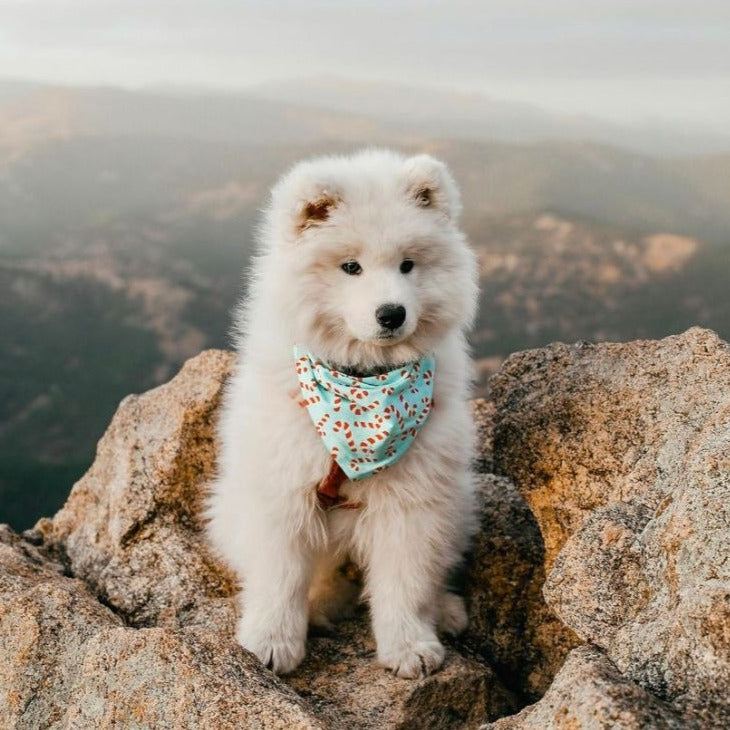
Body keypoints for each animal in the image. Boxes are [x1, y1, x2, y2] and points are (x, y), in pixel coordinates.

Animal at [205, 148, 478, 676]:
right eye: (351, 266)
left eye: (408, 265)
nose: (391, 313)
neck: (363, 381)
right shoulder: (282, 490)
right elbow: (280, 576)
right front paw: (271, 641)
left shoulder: (412, 501)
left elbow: (405, 582)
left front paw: (409, 646)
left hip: (454, 506)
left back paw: (446, 610)